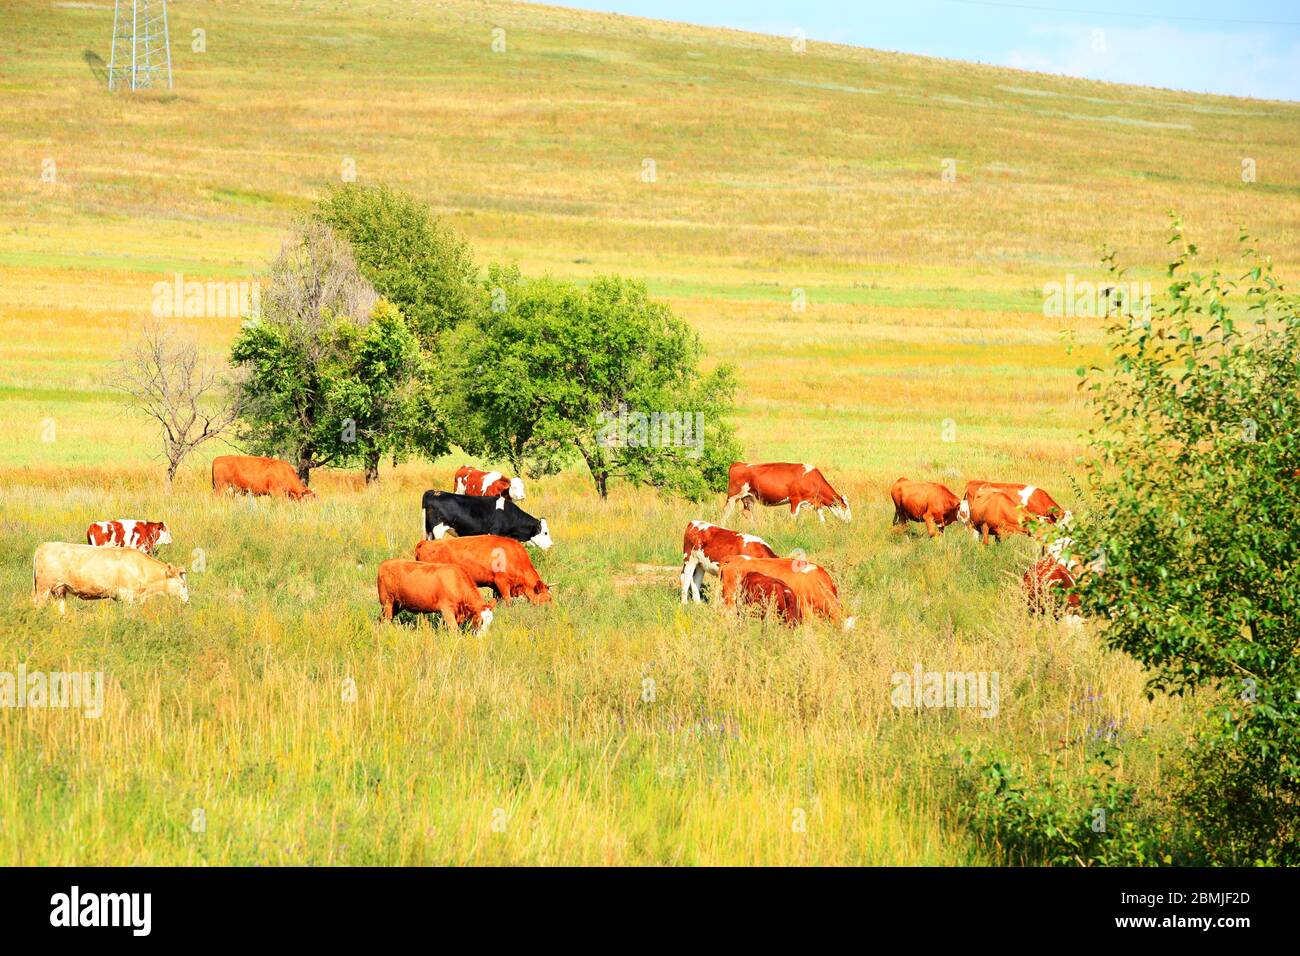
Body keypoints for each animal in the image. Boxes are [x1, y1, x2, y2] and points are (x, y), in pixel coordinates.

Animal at [33, 542, 188, 614]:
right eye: (182, 584)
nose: (187, 601)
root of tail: (43, 546)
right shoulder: (127, 596)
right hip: (43, 588)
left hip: (59, 590)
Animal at [421, 490, 552, 549]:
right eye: (545, 532)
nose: (551, 545)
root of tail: (433, 492)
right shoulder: (494, 533)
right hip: (438, 531)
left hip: (428, 531)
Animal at [723, 462, 851, 522]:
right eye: (845, 508)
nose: (850, 521)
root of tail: (739, 464)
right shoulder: (795, 500)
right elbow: (793, 517)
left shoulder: (815, 501)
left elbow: (821, 515)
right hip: (733, 496)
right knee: (726, 511)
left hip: (748, 498)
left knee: (747, 513)